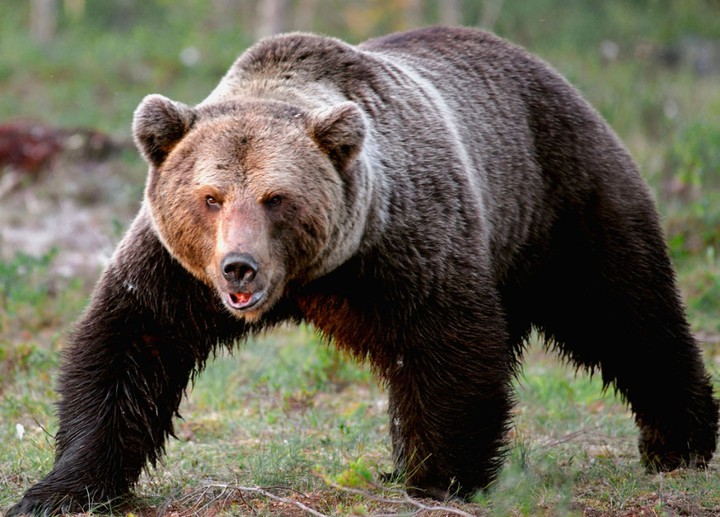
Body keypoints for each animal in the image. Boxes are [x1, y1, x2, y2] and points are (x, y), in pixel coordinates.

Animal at [8, 26, 719, 515]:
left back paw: (679, 442)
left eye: (276, 197)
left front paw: (440, 476)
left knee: (627, 312)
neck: (310, 279)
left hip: (561, 200)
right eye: (210, 197)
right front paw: (59, 489)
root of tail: (544, 69)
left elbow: (448, 348)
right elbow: (127, 349)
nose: (239, 269)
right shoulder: (176, 272)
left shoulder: (402, 244)